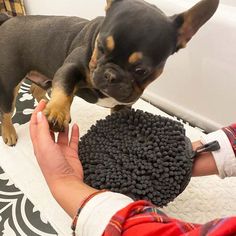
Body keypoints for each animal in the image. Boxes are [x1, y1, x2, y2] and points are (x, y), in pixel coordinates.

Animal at [0, 0, 219, 145]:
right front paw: (57, 112)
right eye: (101, 47)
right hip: (9, 86)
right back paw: (10, 133)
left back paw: (46, 102)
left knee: (36, 90)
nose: (111, 75)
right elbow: (64, 88)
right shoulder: (70, 68)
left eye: (141, 70)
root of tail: (8, 20)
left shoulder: (123, 107)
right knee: (7, 112)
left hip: (42, 76)